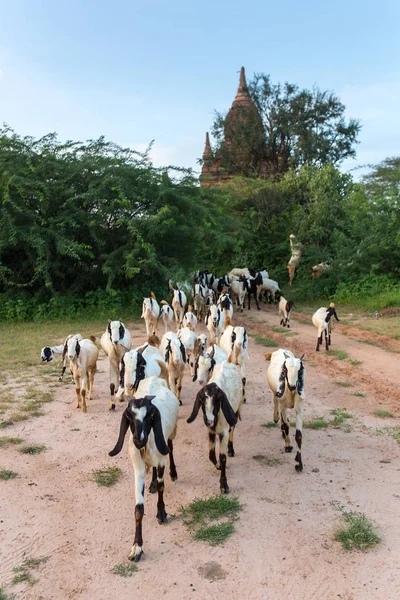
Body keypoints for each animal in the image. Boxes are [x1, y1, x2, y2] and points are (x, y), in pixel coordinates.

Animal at [108, 376, 179, 564]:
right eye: (130, 417)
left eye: (150, 416)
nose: (138, 440)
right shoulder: (138, 468)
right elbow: (138, 508)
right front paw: (136, 548)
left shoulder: (161, 460)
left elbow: (162, 486)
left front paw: (161, 513)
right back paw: (152, 484)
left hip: (170, 436)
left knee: (170, 447)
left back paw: (173, 473)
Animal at [188, 358, 244, 494]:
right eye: (202, 400)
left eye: (218, 400)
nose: (209, 420)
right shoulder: (211, 432)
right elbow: (211, 455)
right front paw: (217, 465)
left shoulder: (223, 432)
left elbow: (222, 457)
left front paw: (224, 484)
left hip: (235, 411)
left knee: (232, 429)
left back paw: (231, 449)